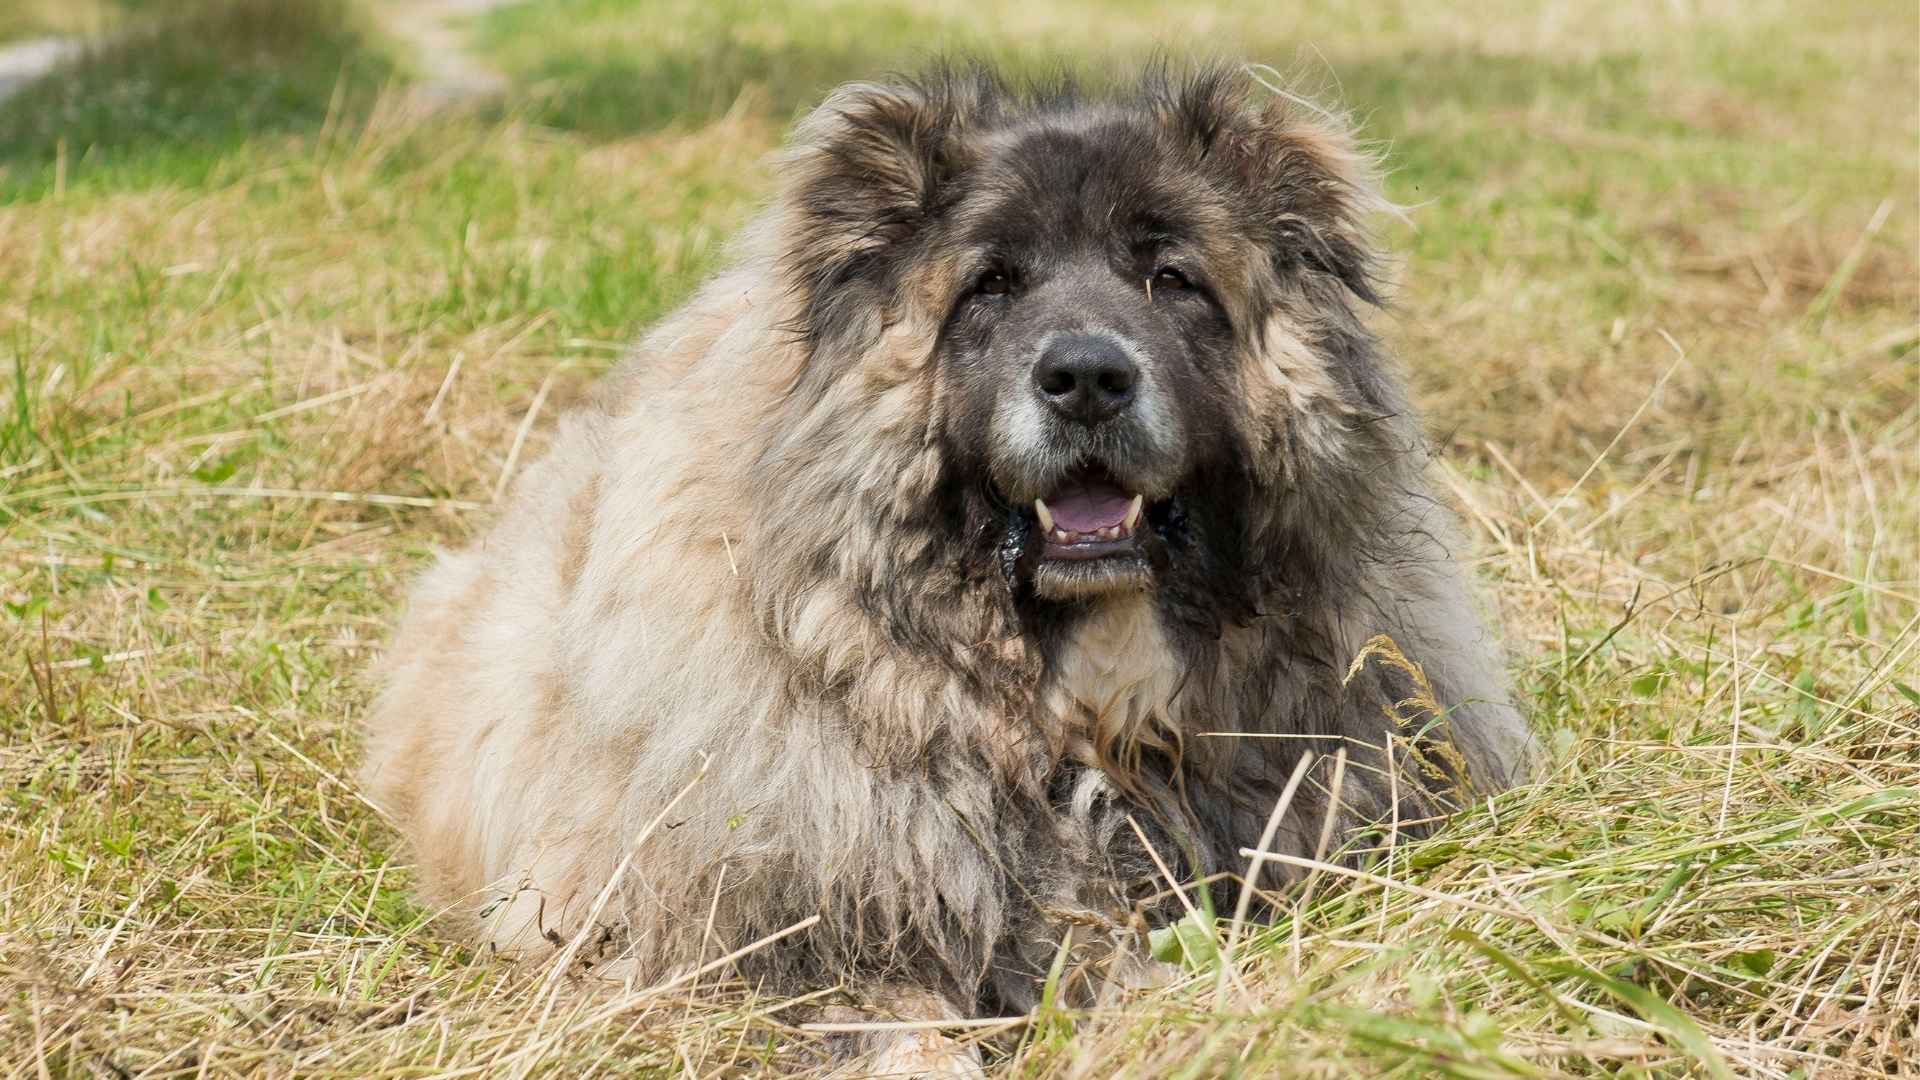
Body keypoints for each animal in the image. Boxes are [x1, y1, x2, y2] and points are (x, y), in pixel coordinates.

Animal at [360, 62, 1528, 1068]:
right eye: (991, 287)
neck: (1068, 709)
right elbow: (900, 1028)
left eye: (1171, 279)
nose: (1086, 378)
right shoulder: (767, 936)